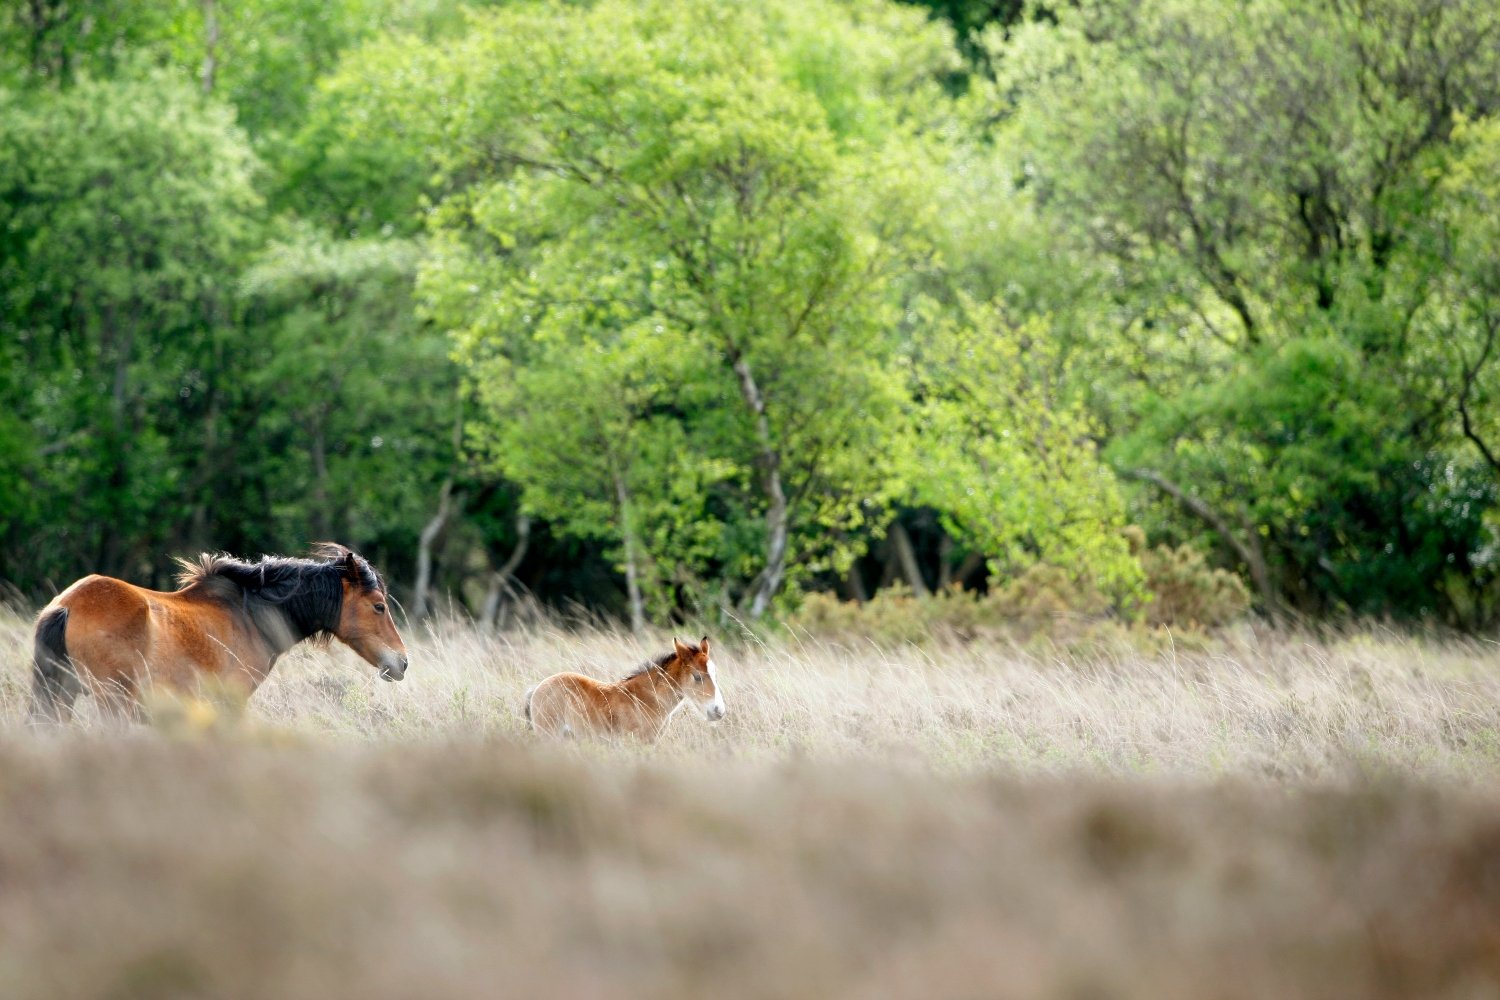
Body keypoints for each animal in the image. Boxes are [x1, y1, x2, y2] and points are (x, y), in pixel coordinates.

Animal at [33, 542, 411, 722]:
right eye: (379, 606)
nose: (402, 662)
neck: (251, 617)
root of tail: (66, 605)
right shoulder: (231, 704)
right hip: (112, 703)